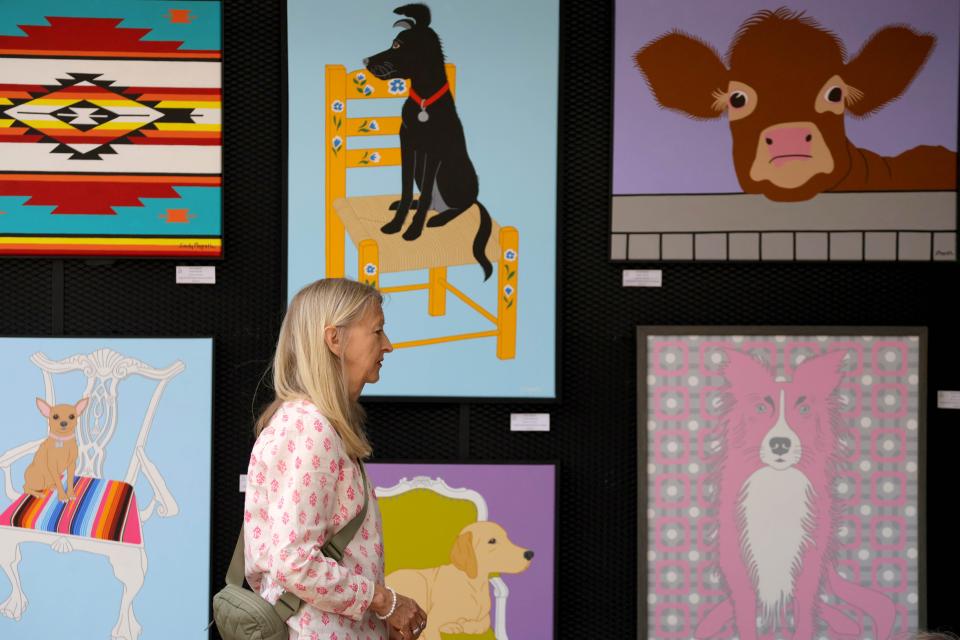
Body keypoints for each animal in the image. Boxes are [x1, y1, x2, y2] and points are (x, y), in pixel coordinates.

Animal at [364, 4, 492, 280]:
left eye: (397, 45)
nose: (365, 61)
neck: (424, 100)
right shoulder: (407, 146)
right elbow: (405, 188)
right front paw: (396, 223)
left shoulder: (433, 152)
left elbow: (423, 199)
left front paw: (413, 231)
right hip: (422, 170)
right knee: (429, 197)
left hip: (447, 174)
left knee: (461, 205)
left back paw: (439, 219)